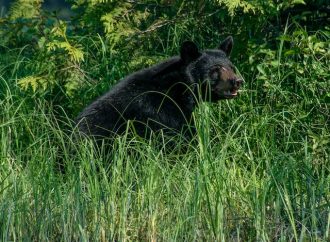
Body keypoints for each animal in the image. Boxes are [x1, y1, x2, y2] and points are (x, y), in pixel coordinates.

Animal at [76, 36, 244, 141]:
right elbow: (180, 137)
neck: (180, 88)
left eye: (231, 67)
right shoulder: (161, 110)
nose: (238, 81)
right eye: (215, 69)